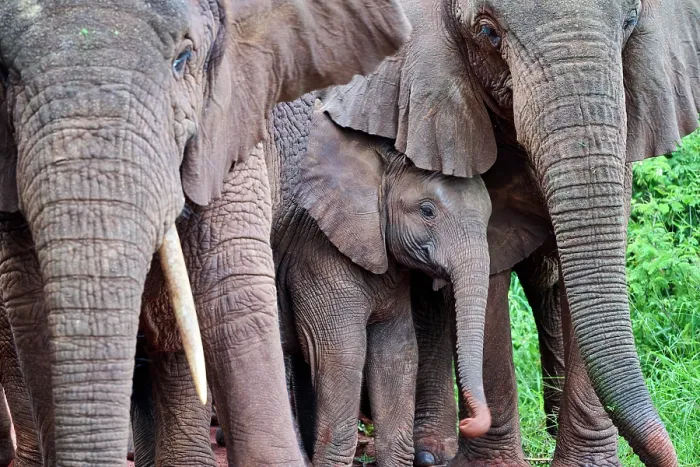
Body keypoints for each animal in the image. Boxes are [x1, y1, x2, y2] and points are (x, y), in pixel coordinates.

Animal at [266, 95, 492, 465]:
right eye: (427, 211)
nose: (469, 422)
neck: (380, 164)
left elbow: (397, 352)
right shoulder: (317, 255)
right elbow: (343, 354)